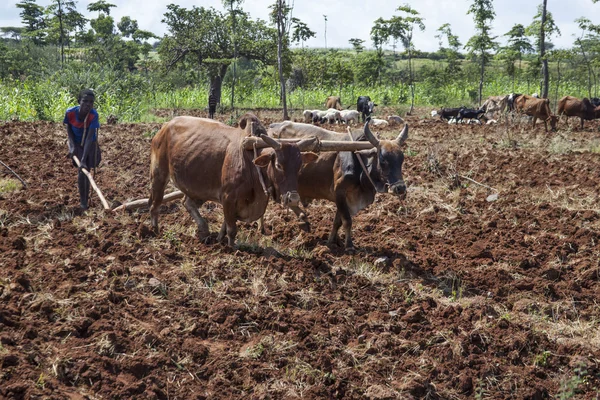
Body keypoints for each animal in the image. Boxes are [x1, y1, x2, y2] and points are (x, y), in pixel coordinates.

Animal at [149, 112, 318, 247]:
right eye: (278, 165)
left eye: (300, 166)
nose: (293, 198)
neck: (251, 161)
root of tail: (165, 126)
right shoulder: (228, 197)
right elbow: (231, 229)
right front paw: (232, 248)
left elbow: (225, 225)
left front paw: (219, 239)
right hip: (159, 175)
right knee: (155, 204)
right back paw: (154, 231)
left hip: (197, 187)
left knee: (187, 202)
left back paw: (204, 230)